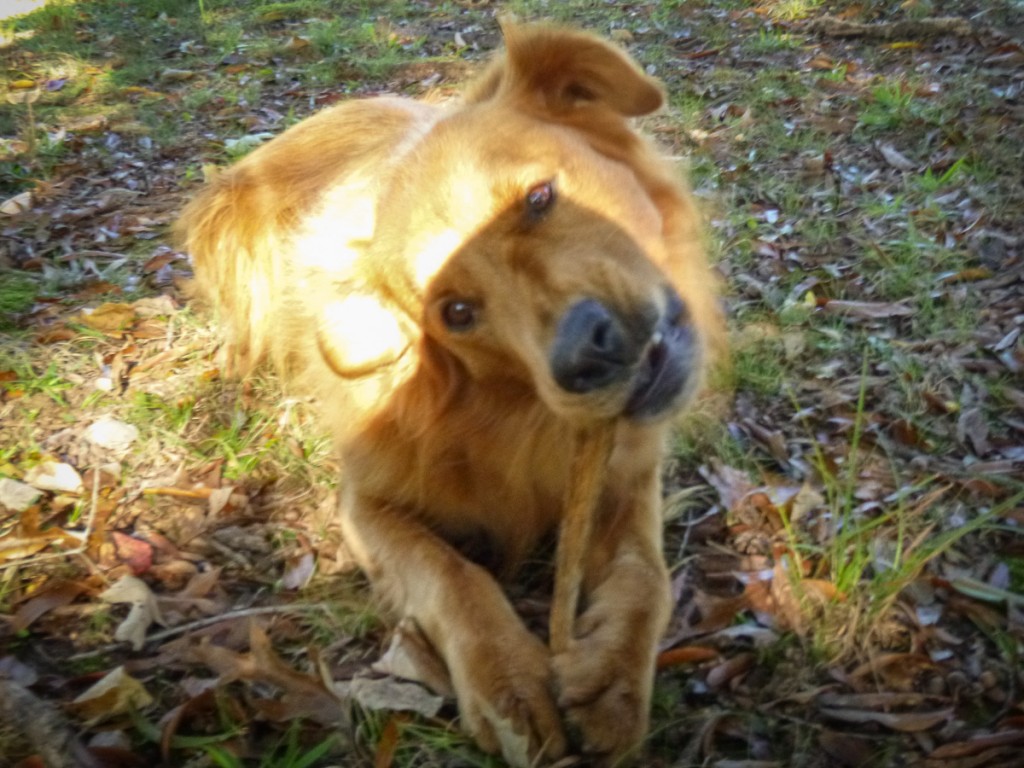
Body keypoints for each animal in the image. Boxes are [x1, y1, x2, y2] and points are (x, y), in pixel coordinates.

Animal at [174, 20, 720, 765]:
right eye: (456, 312)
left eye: (539, 199)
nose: (587, 354)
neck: (513, 414)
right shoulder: (365, 502)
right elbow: (452, 575)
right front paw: (509, 682)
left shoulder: (630, 473)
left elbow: (646, 576)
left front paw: (612, 679)